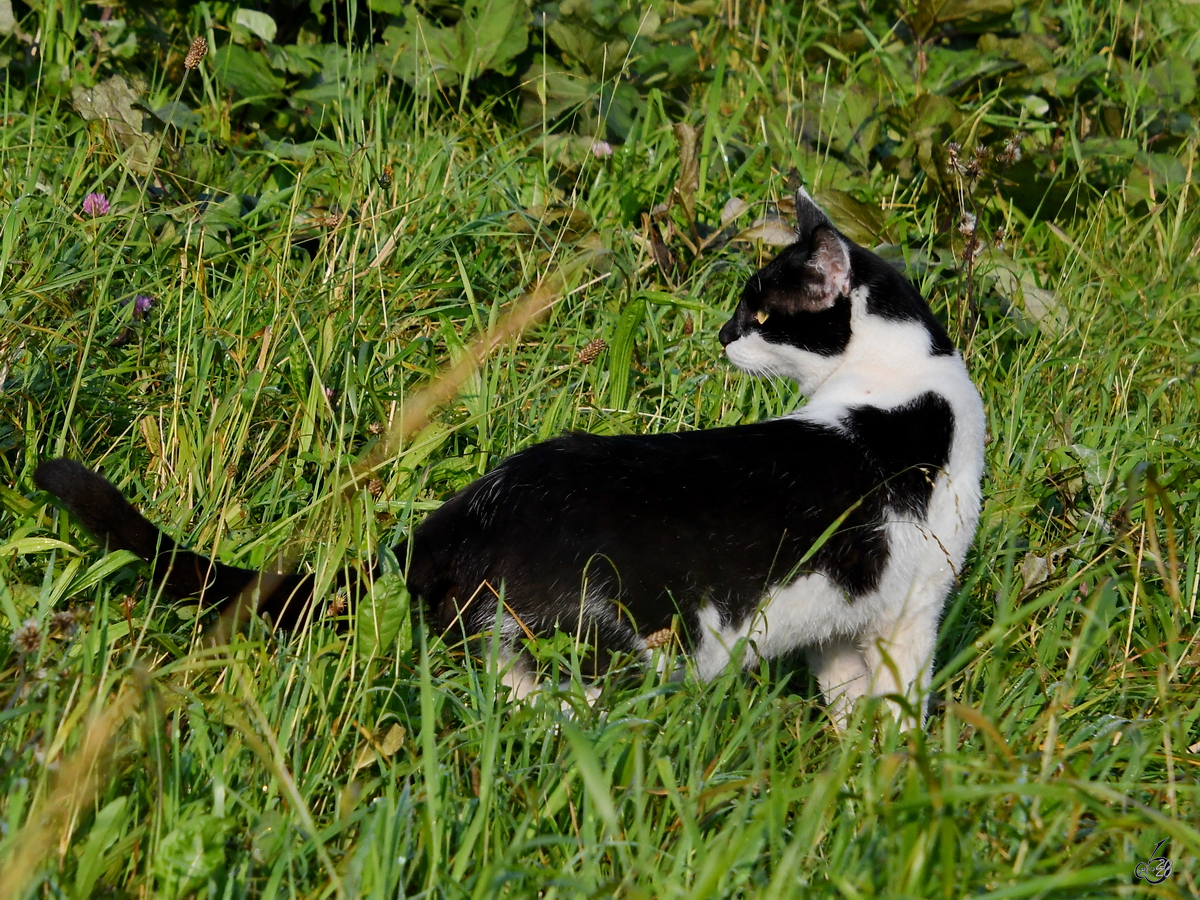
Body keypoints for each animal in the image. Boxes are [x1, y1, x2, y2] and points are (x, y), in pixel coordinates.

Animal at [32, 188, 984, 724]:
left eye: (757, 313)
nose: (719, 337)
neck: (910, 376)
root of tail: (453, 519)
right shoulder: (915, 606)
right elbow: (900, 704)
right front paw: (900, 784)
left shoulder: (852, 623)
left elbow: (852, 700)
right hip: (611, 653)